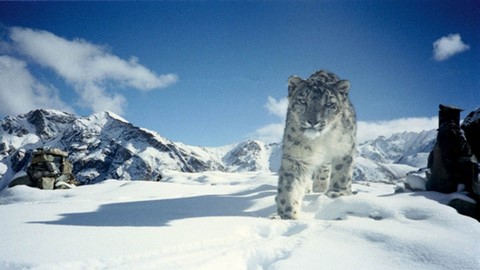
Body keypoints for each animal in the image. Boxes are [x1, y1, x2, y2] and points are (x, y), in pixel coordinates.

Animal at [274, 69, 356, 219]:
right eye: (302, 101)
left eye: (329, 104)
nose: (313, 121)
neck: (321, 140)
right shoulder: (295, 155)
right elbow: (290, 185)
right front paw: (286, 215)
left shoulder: (345, 147)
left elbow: (342, 172)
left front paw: (337, 192)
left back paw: (320, 186)